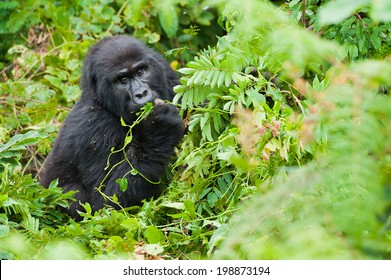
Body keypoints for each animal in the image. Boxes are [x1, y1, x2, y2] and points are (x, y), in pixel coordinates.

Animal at [39, 35, 185, 219]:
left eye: (140, 71)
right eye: (123, 80)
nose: (141, 94)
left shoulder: (165, 72)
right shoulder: (96, 129)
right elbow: (106, 204)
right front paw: (159, 130)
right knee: (71, 193)